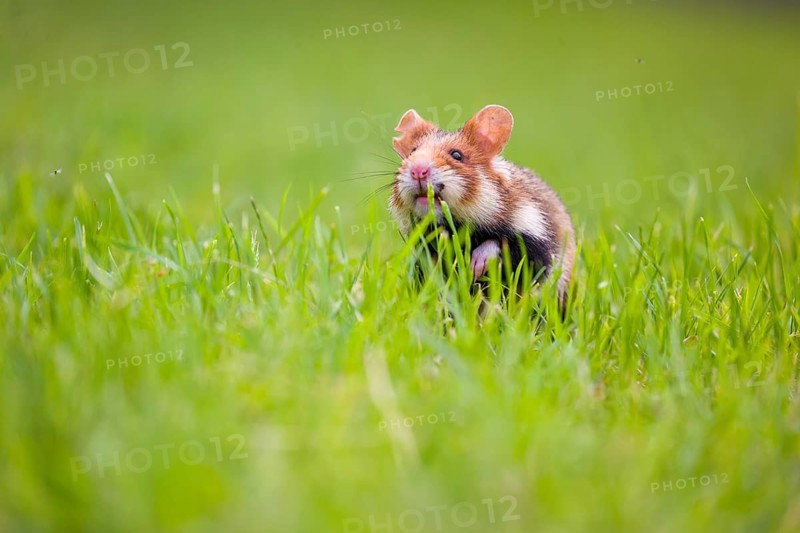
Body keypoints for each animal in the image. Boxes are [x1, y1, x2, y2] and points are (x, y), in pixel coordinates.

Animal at [389, 104, 576, 309]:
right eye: (412, 152)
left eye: (457, 155)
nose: (417, 171)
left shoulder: (538, 242)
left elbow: (501, 245)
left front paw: (475, 266)